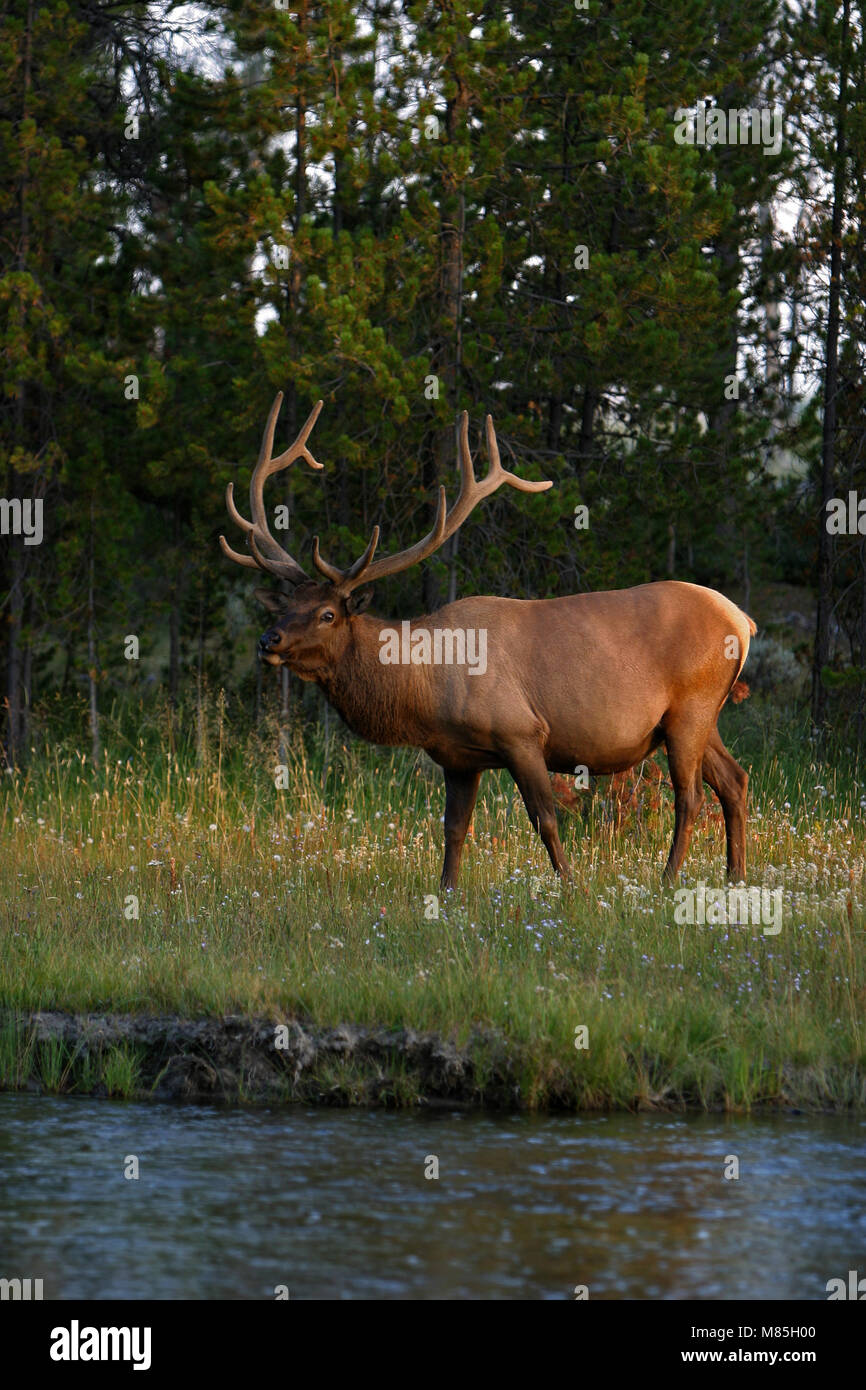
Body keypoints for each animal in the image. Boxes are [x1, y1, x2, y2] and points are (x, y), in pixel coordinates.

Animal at [221, 393, 755, 890]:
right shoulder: (459, 758)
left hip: (690, 707)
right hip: (701, 715)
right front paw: (447, 893)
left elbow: (546, 820)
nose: (268, 639)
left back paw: (669, 879)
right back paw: (735, 876)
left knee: (689, 796)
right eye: (285, 606)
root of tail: (743, 621)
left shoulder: (521, 732)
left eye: (327, 614)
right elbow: (454, 829)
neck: (424, 687)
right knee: (735, 779)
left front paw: (572, 888)